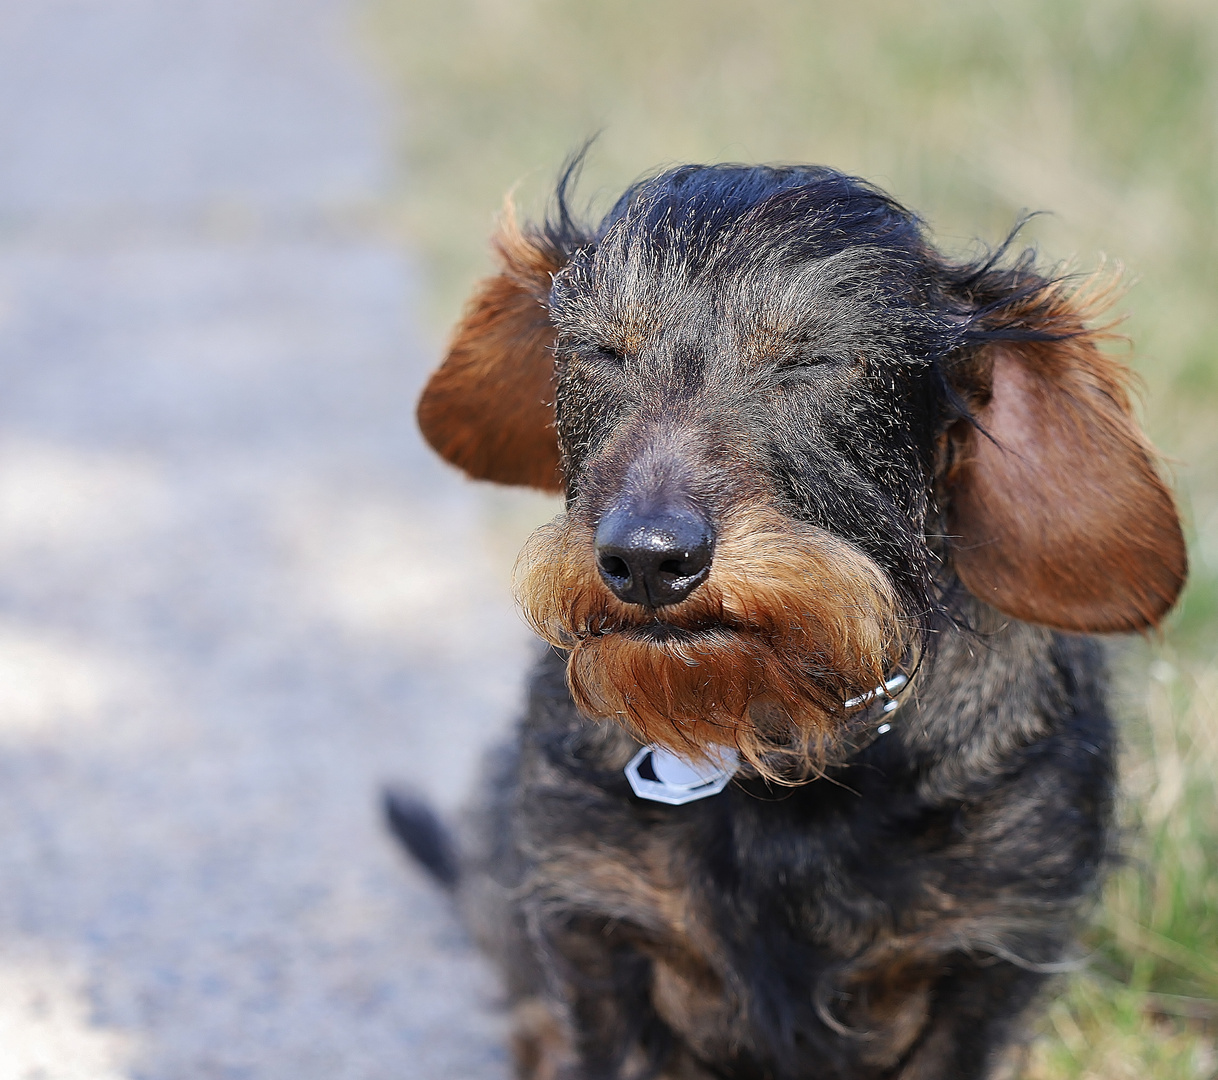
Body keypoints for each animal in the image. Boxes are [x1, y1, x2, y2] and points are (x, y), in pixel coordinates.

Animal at [392, 163, 1188, 1080]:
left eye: (813, 360)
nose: (648, 559)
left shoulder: (983, 960)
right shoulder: (601, 925)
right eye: (601, 351)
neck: (780, 738)